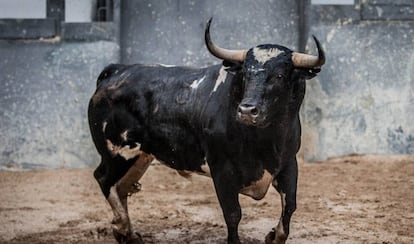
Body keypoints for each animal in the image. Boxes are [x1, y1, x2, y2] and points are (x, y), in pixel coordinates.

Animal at [87, 19, 326, 244]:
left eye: (279, 76)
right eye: (245, 74)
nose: (247, 110)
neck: (264, 140)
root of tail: (117, 71)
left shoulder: (288, 163)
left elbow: (290, 206)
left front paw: (274, 236)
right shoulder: (222, 170)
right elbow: (233, 214)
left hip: (140, 156)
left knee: (121, 187)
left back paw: (128, 235)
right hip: (116, 152)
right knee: (104, 179)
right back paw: (123, 228)